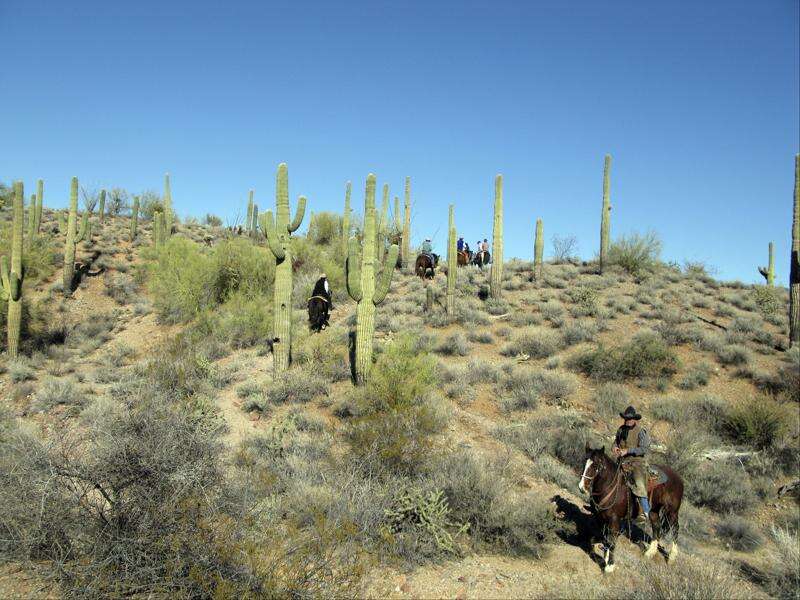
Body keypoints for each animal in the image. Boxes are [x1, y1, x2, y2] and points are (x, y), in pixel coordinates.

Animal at [578, 445, 683, 573]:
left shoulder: (614, 520)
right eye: (585, 461)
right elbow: (605, 537)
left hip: (672, 511)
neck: (611, 488)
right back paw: (649, 553)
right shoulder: (601, 518)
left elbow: (611, 541)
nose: (582, 487)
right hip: (653, 510)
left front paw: (610, 566)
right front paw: (606, 558)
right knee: (656, 526)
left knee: (675, 528)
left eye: (596, 465)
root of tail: (679, 479)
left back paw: (672, 557)